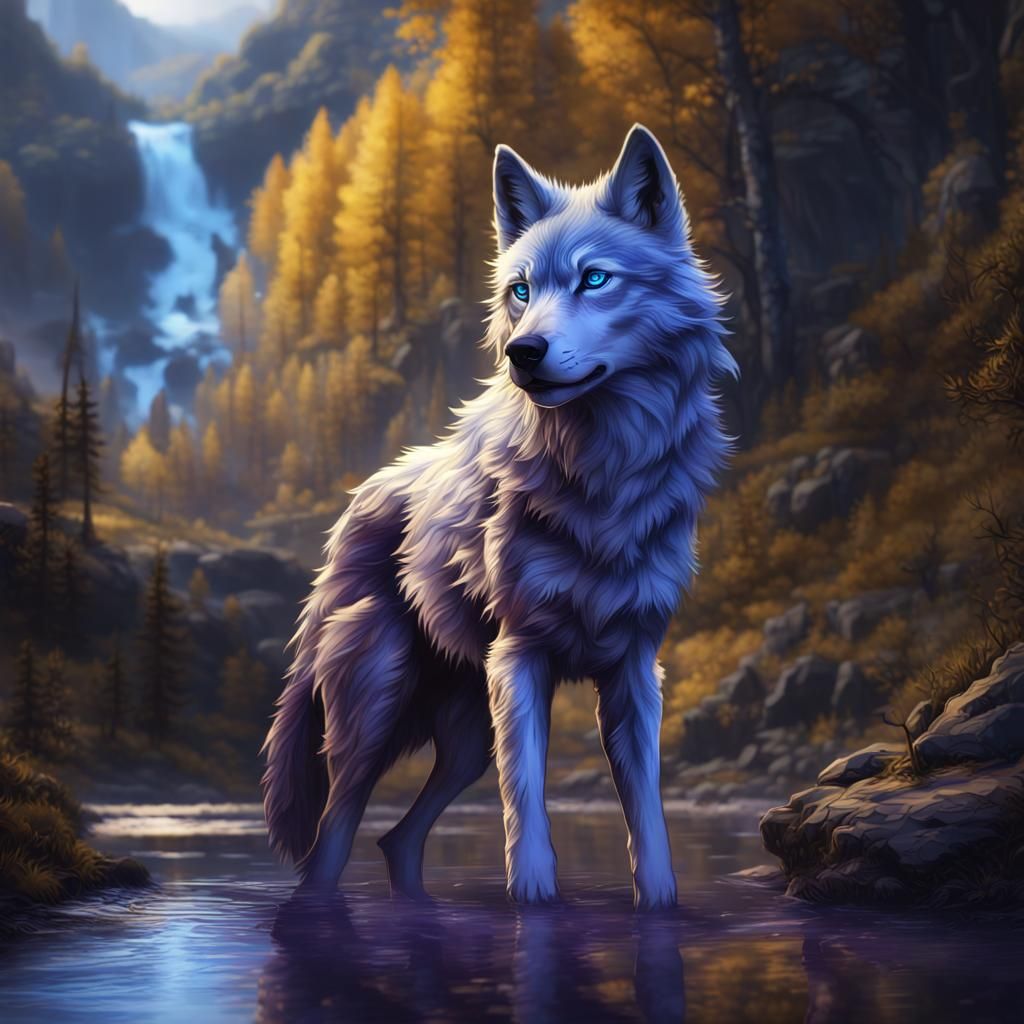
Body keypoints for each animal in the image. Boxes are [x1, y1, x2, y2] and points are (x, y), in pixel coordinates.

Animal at [262, 124, 736, 910]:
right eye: (521, 291)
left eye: (594, 280)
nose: (524, 352)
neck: (601, 475)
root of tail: (354, 509)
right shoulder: (519, 658)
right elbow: (528, 807)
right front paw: (534, 904)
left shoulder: (635, 671)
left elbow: (647, 822)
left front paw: (659, 906)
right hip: (377, 710)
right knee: (331, 839)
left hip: (465, 741)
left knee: (397, 839)